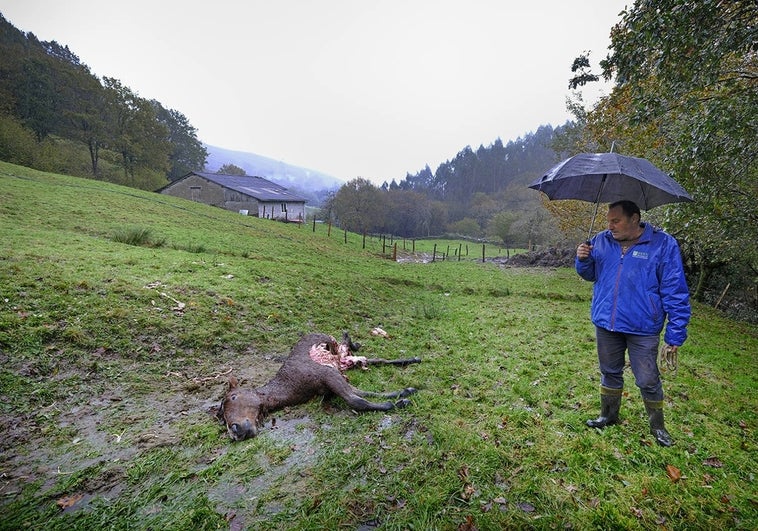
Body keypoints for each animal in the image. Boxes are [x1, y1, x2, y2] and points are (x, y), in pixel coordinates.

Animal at [217, 332, 422, 440]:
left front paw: (396, 403)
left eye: (233, 397)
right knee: (377, 359)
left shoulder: (328, 374)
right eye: (221, 417)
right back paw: (413, 359)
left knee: (348, 343)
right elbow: (362, 393)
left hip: (338, 350)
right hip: (345, 361)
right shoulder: (333, 379)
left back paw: (352, 339)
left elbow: (356, 401)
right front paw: (404, 393)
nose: (235, 430)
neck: (294, 388)